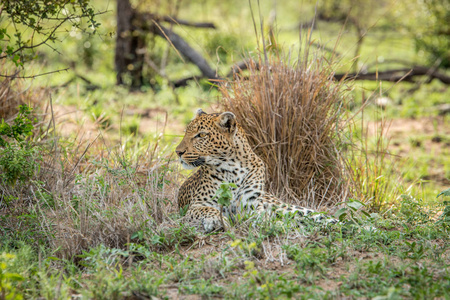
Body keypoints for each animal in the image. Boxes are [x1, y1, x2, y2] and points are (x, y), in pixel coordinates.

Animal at [174, 109, 336, 233]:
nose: (178, 152)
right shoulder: (196, 205)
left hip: (283, 207)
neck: (232, 168)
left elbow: (261, 218)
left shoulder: (250, 205)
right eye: (186, 133)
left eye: (201, 135)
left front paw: (273, 224)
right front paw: (215, 221)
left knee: (311, 215)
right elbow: (208, 210)